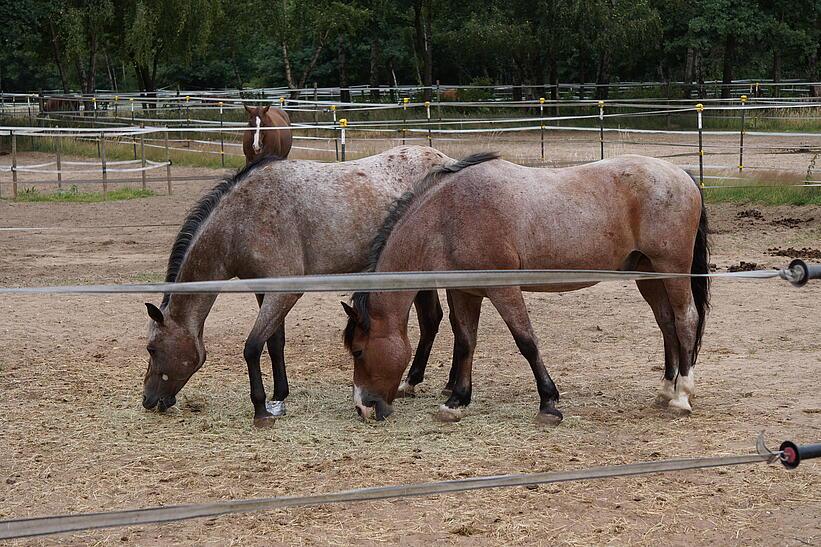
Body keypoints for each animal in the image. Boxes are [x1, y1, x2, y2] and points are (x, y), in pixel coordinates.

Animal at [140, 147, 448, 428]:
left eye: (152, 348)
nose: (147, 400)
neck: (239, 222)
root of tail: (443, 159)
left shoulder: (285, 292)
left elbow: (252, 347)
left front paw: (261, 409)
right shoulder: (265, 290)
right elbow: (274, 343)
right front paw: (278, 397)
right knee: (431, 320)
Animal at [342, 153, 708, 424]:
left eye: (358, 351)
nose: (362, 407)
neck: (448, 216)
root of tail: (682, 174)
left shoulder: (504, 290)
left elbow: (526, 342)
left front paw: (549, 403)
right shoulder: (464, 292)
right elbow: (466, 342)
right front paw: (457, 400)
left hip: (671, 269)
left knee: (685, 319)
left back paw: (682, 395)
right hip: (648, 274)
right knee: (667, 323)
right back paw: (666, 388)